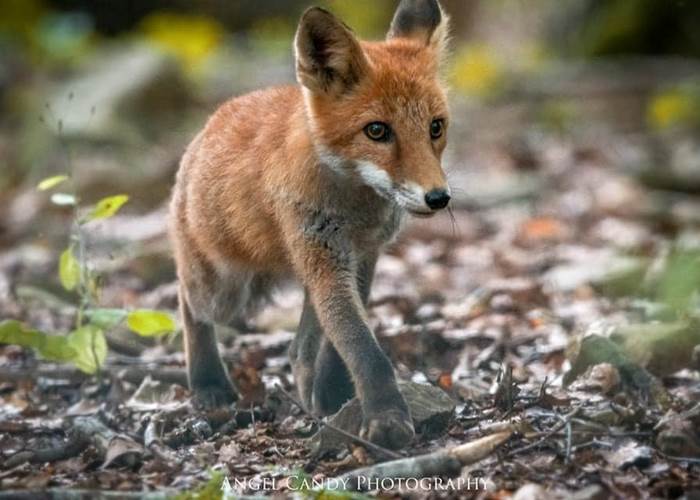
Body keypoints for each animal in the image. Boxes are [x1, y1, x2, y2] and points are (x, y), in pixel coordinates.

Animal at [169, 0, 451, 450]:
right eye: (377, 131)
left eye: (435, 127)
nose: (438, 198)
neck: (355, 203)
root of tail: (206, 128)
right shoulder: (324, 256)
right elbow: (363, 347)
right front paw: (386, 418)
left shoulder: (361, 256)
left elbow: (341, 344)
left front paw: (337, 395)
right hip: (225, 290)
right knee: (186, 297)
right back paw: (208, 382)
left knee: (299, 349)